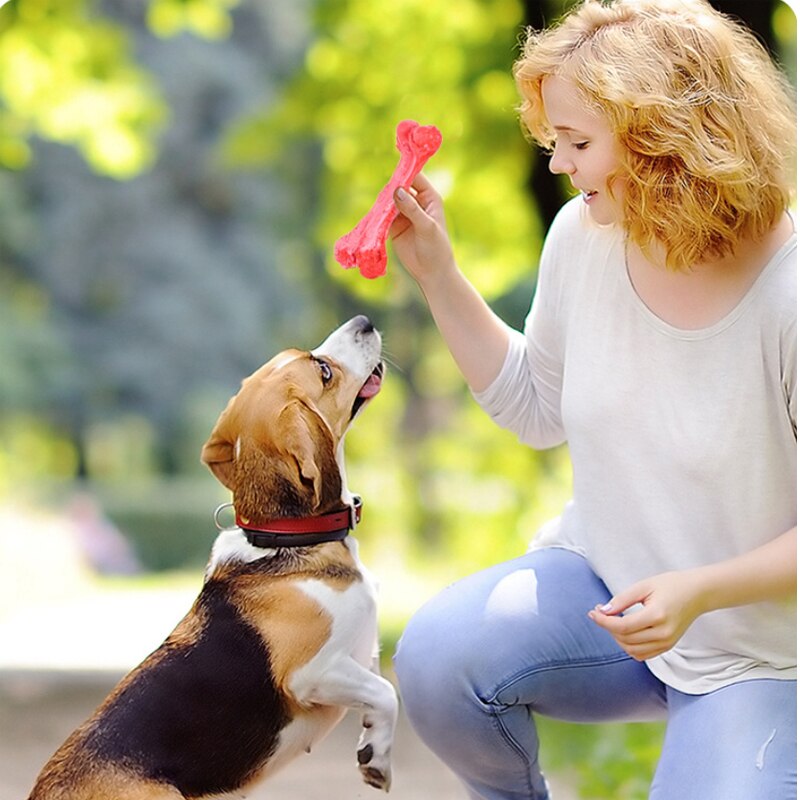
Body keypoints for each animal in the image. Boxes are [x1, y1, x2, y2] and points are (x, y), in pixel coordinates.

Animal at [28, 316, 396, 796]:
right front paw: (378, 761)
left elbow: (380, 690)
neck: (288, 538)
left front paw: (374, 746)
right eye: (323, 371)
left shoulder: (362, 658)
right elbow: (388, 692)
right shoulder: (314, 673)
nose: (364, 322)